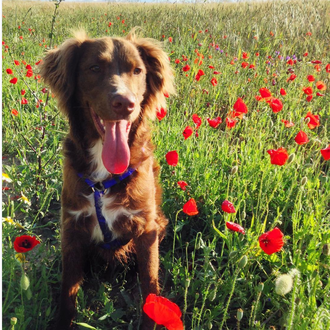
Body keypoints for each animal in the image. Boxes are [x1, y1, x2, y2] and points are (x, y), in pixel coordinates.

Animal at [40, 29, 175, 328]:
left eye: (137, 70)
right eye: (94, 68)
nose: (125, 104)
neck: (104, 173)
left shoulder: (146, 228)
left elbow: (150, 283)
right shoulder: (72, 226)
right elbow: (68, 289)